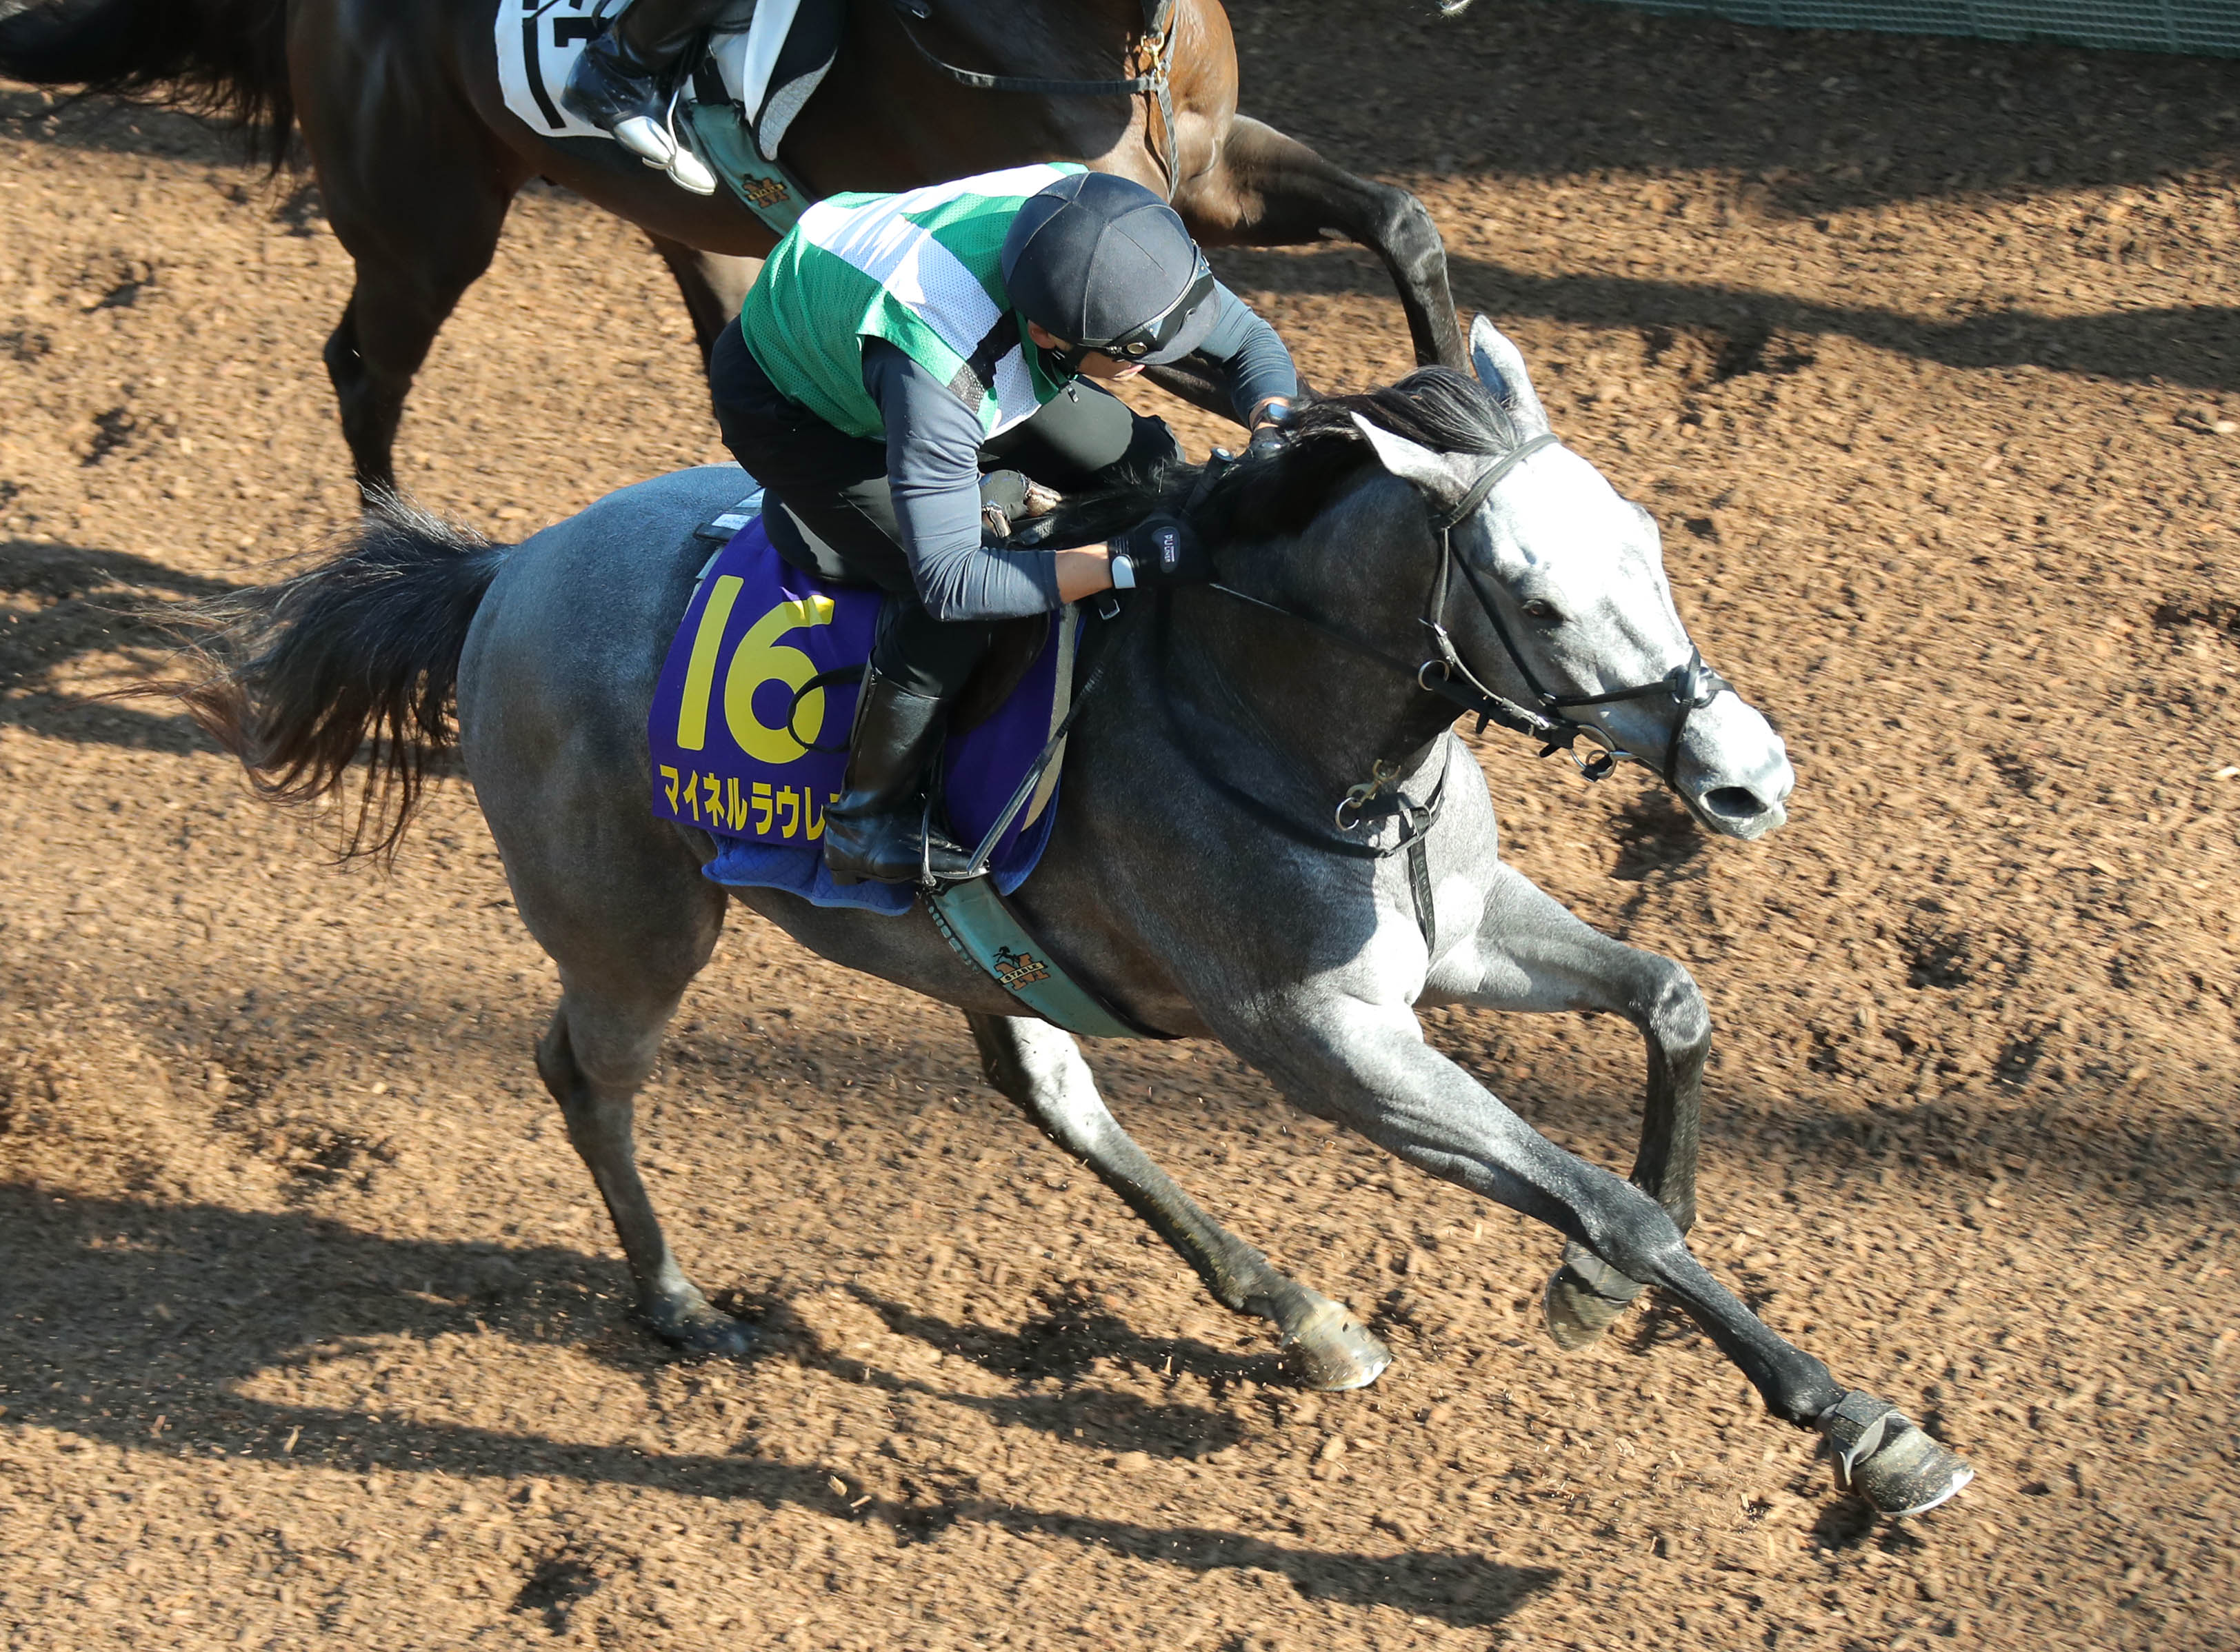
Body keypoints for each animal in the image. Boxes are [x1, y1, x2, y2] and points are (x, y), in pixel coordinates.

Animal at [0, 0, 1465, 499]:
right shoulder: (1073, 278)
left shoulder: (1205, 175)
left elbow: (1401, 216)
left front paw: (1456, 392)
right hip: (426, 228)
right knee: (363, 370)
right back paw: (390, 535)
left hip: (702, 232)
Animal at [148, 317, 1974, 1519]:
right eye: (1531, 596)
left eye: (1651, 538)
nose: (1744, 775)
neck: (1287, 720)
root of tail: (505, 571)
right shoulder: (1325, 1040)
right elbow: (1606, 1199)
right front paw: (1855, 1423)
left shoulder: (1452, 940)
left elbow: (1670, 998)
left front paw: (1604, 1293)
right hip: (637, 931)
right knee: (586, 1073)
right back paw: (677, 1302)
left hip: (964, 943)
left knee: (1044, 1088)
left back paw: (1295, 1312)